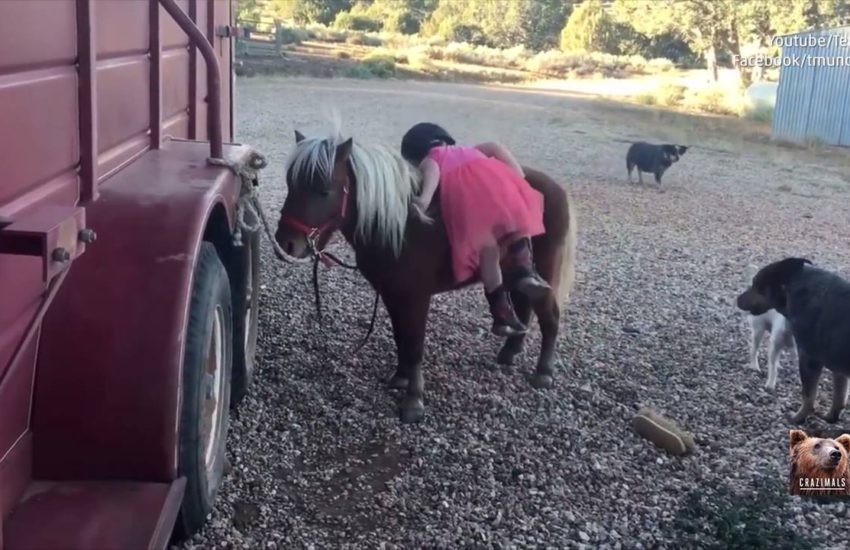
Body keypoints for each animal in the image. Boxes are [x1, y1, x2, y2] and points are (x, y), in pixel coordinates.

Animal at [275, 127, 578, 424]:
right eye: (290, 184)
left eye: (324, 191)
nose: (286, 244)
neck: (400, 225)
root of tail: (553, 188)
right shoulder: (392, 295)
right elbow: (401, 338)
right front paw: (400, 377)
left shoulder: (416, 298)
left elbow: (415, 345)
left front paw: (414, 401)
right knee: (525, 306)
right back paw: (509, 350)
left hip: (545, 271)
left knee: (549, 316)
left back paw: (543, 373)